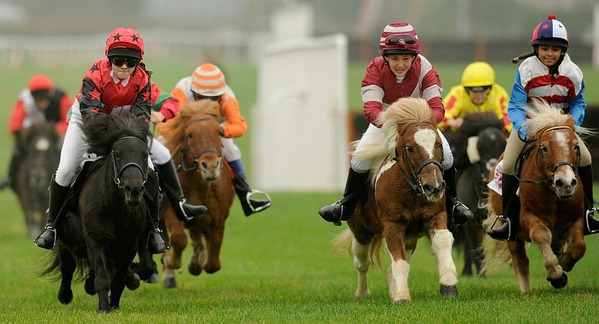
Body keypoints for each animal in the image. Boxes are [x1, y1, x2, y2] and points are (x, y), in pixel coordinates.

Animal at [41, 111, 157, 312]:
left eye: (144, 155)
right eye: (117, 154)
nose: (134, 190)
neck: (116, 208)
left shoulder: (129, 245)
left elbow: (118, 279)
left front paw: (115, 305)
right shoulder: (95, 241)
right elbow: (102, 278)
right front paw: (104, 308)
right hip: (64, 241)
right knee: (68, 266)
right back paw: (65, 295)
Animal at [161, 99, 236, 288]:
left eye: (219, 132)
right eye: (189, 135)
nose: (210, 166)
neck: (201, 187)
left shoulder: (218, 219)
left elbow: (213, 263)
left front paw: (199, 260)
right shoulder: (170, 210)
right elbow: (178, 239)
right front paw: (171, 260)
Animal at [332, 97, 460, 302]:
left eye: (440, 145)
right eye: (410, 148)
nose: (434, 187)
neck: (411, 191)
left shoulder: (436, 215)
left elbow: (442, 242)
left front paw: (448, 284)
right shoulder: (392, 225)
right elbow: (399, 262)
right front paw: (401, 296)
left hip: (410, 237)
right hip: (361, 231)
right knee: (362, 263)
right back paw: (362, 293)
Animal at [440, 112, 506, 278]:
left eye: (502, 144)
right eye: (480, 147)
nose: (491, 168)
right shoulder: (470, 222)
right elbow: (474, 248)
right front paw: (481, 275)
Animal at [482, 100, 592, 292]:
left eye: (575, 146)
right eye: (545, 148)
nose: (565, 183)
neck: (553, 194)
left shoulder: (576, 218)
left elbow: (579, 246)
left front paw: (563, 265)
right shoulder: (528, 217)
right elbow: (541, 235)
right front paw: (556, 273)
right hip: (511, 234)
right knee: (520, 260)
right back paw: (526, 290)